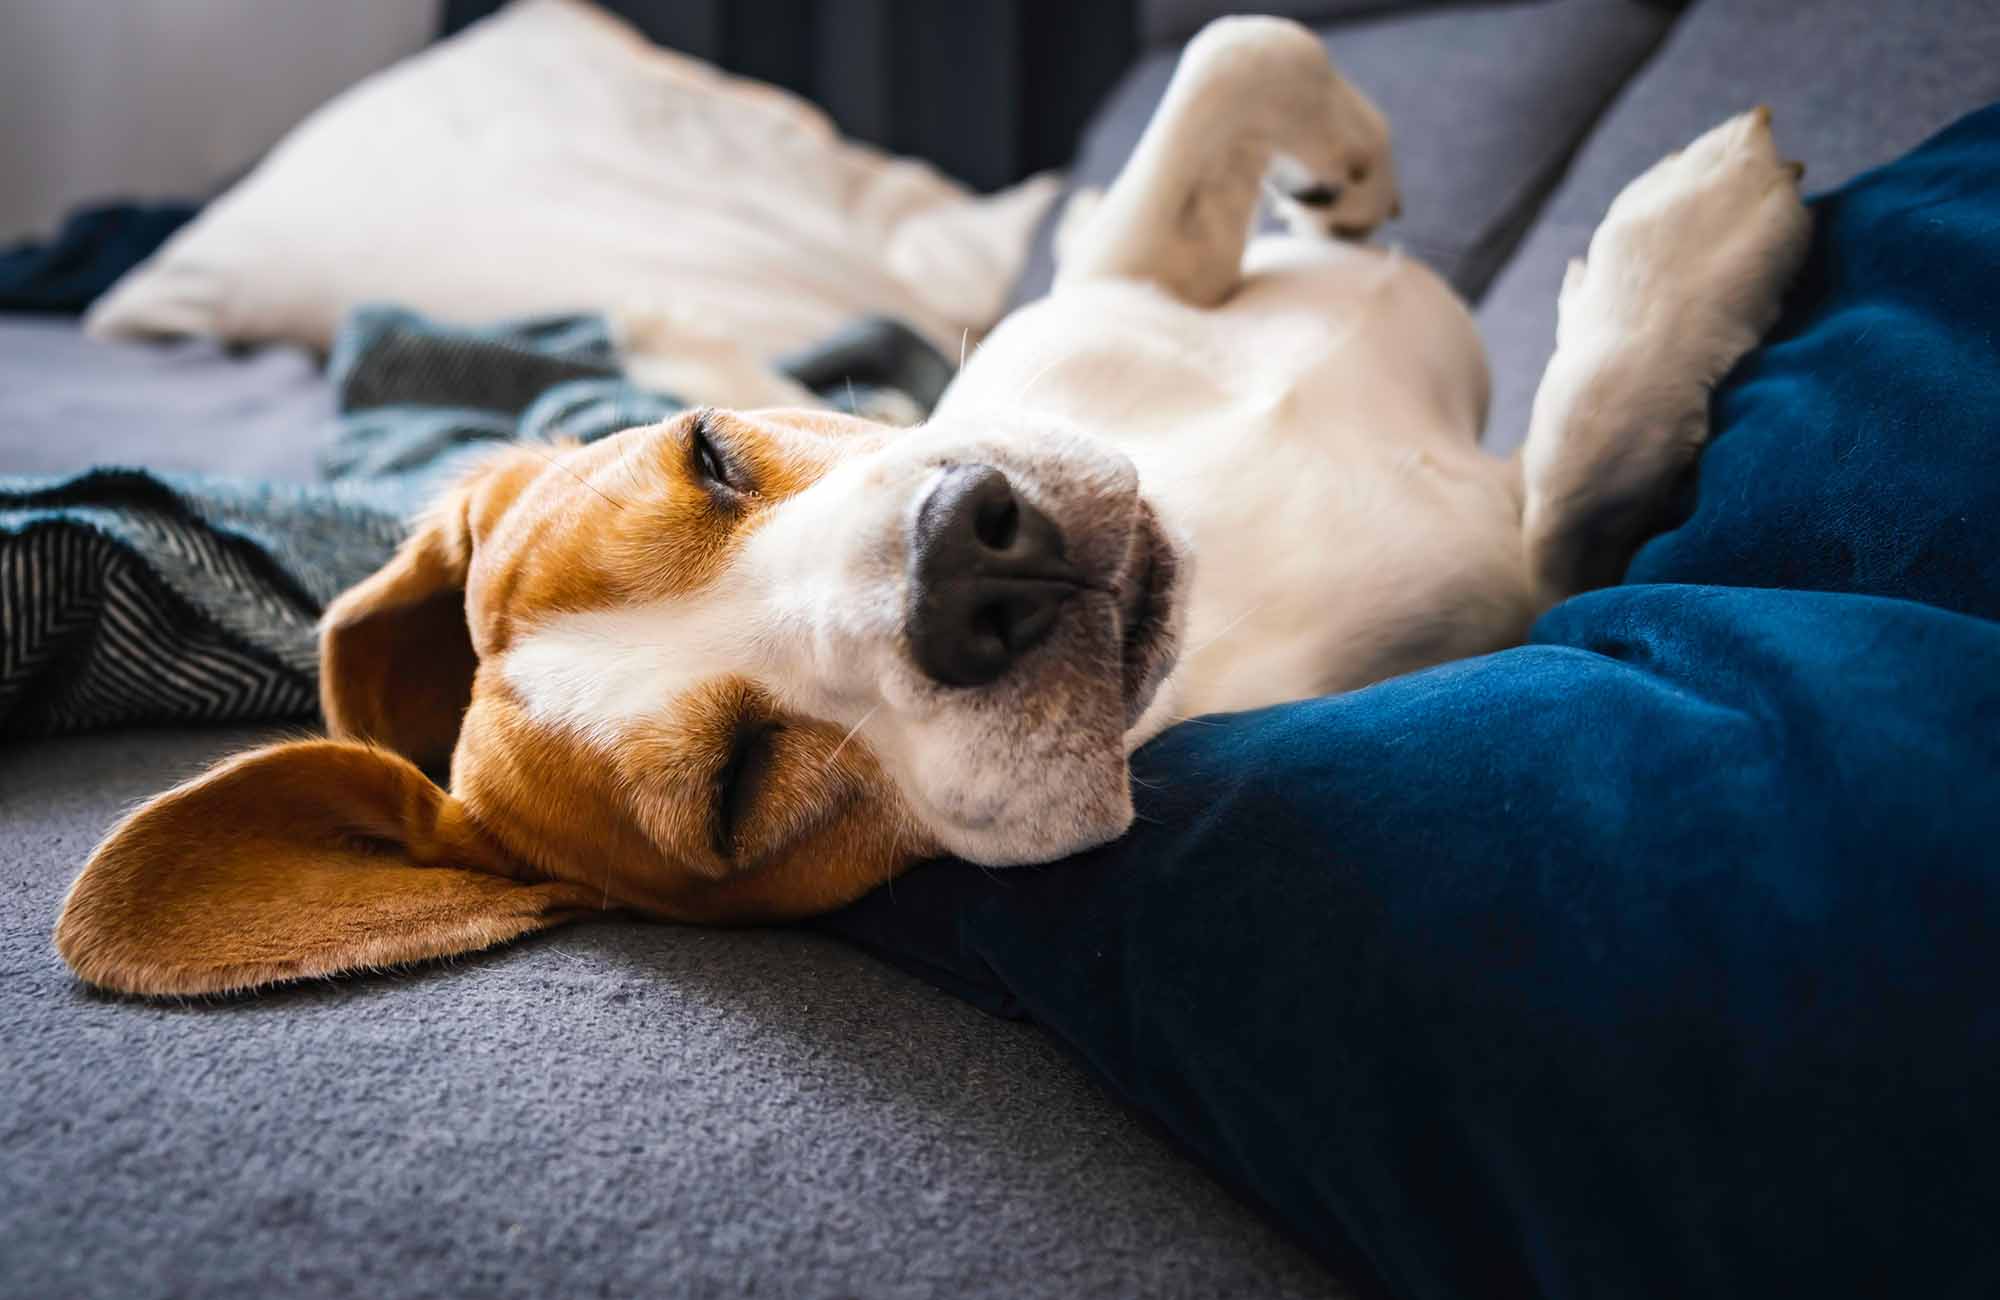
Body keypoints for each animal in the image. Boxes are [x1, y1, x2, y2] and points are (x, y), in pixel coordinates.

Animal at [58, 17, 1816, 992]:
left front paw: (1345, 177)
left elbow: (1230, 57)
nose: (973, 567)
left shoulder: (1123, 280)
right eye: (741, 798)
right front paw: (1690, 246)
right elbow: (1582, 472)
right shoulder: (1536, 583)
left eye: (708, 453)